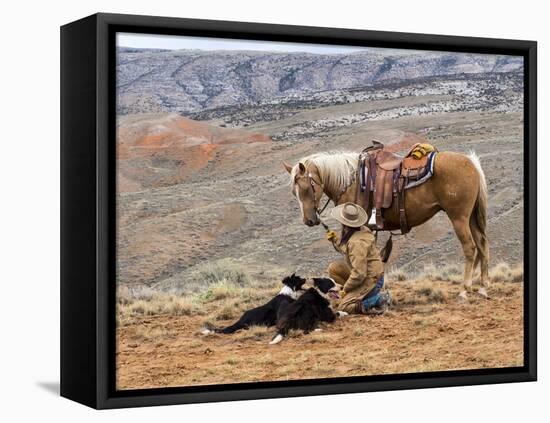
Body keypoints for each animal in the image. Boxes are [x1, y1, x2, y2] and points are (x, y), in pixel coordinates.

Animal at [284, 150, 492, 302]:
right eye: (293, 192)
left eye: (305, 188)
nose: (309, 220)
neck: (351, 182)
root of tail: (471, 163)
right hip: (472, 218)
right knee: (482, 245)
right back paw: (483, 287)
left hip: (459, 217)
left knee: (470, 247)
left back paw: (465, 290)